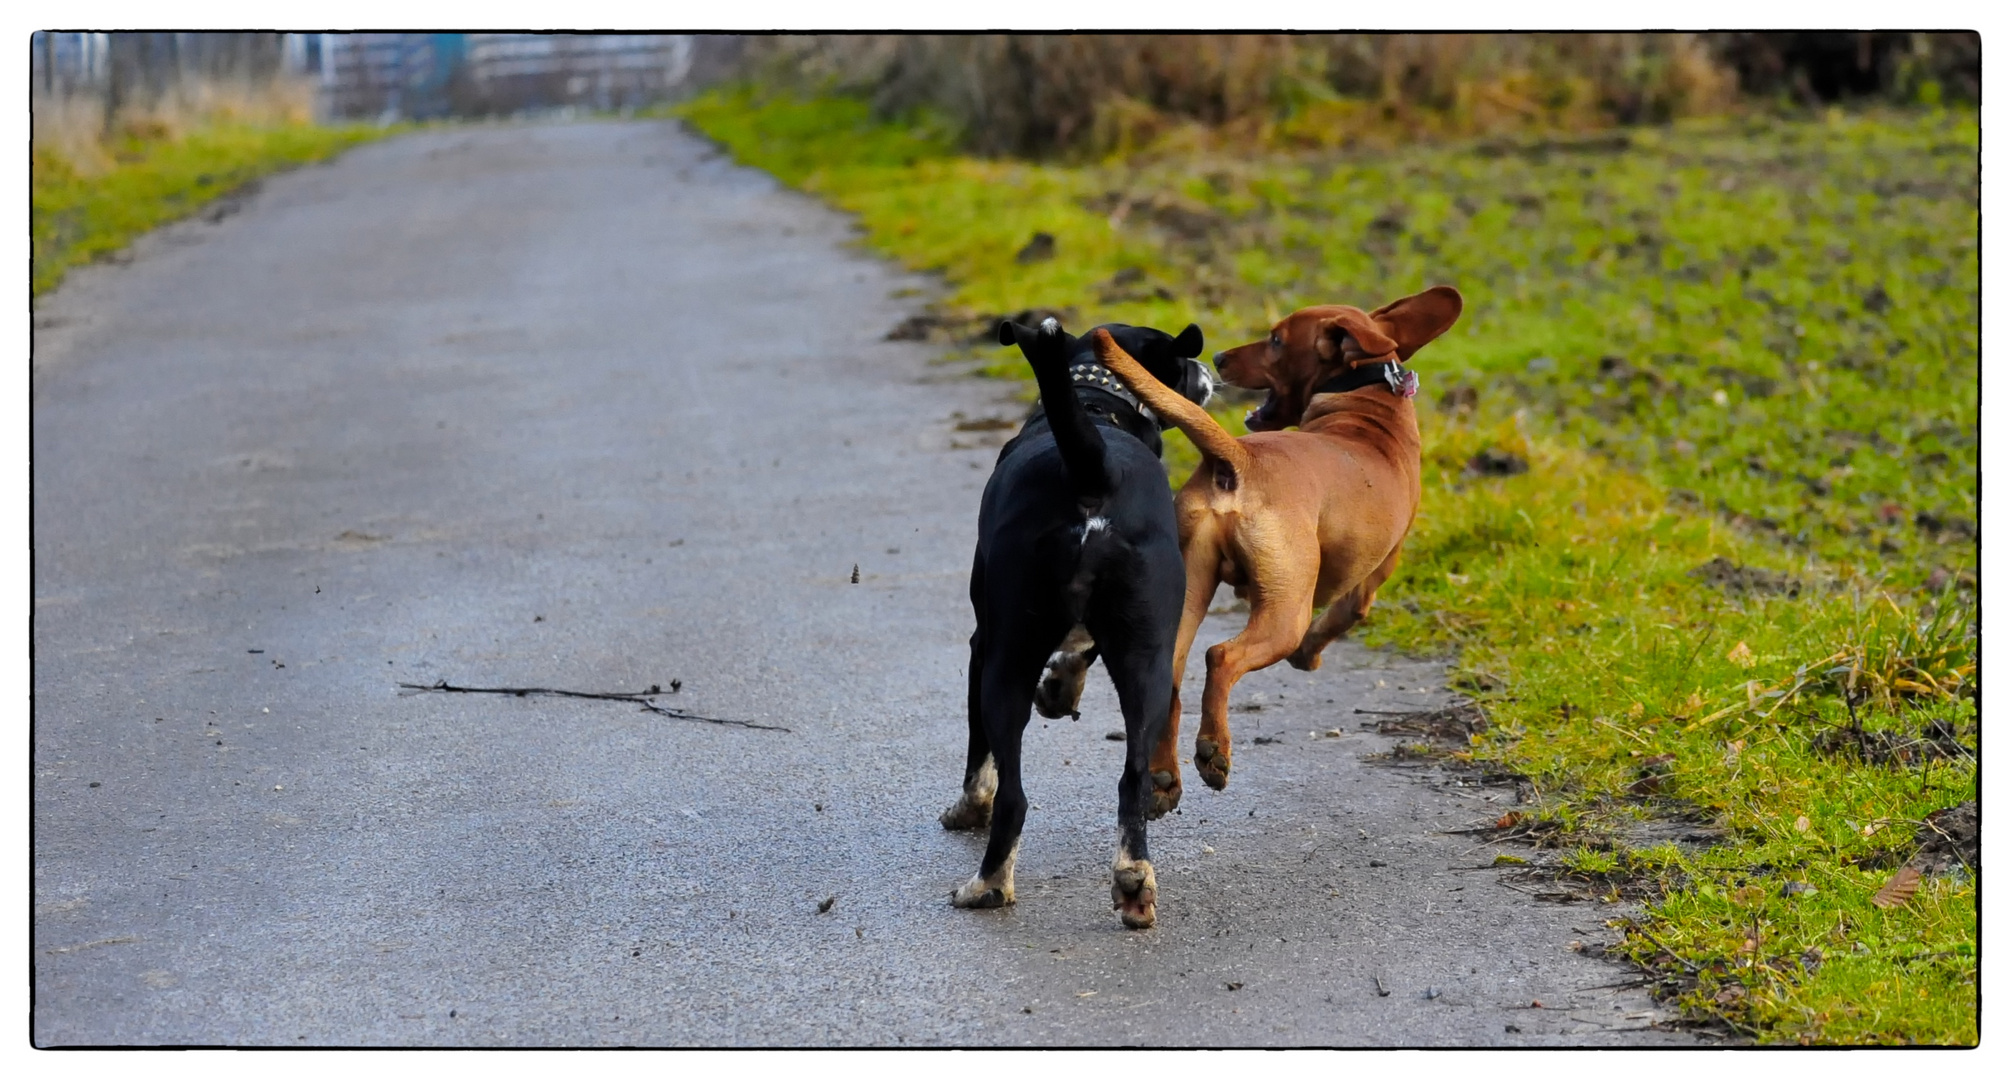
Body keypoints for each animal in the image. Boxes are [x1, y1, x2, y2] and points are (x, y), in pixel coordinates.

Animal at [941, 317, 1206, 925]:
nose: (1212, 369)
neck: (1095, 402)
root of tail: (1093, 470)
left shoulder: (981, 644)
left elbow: (979, 757)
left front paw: (969, 807)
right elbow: (1080, 650)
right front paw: (1061, 686)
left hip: (1006, 661)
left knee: (1014, 797)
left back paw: (988, 883)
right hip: (1149, 660)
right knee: (1133, 779)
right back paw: (1133, 879)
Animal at [1085, 285, 1464, 808]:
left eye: (1277, 340)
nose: (1219, 357)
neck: (1367, 405)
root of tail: (1240, 458)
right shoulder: (1374, 575)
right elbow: (1343, 616)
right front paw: (1309, 656)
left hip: (1190, 587)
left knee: (1174, 677)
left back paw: (1165, 777)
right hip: (1286, 611)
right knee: (1221, 657)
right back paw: (1213, 751)